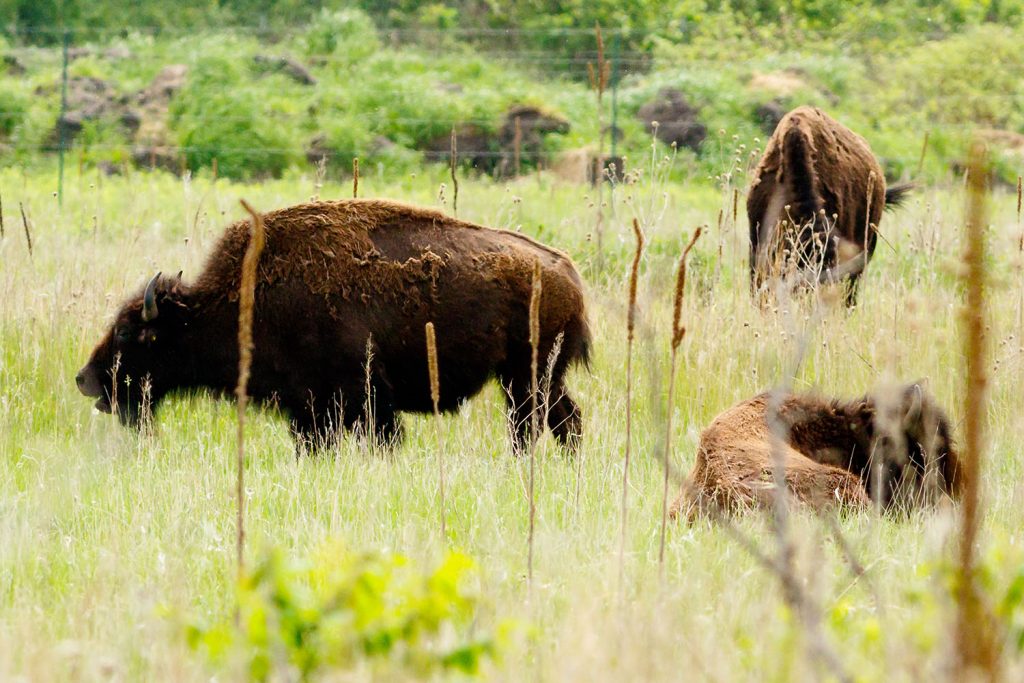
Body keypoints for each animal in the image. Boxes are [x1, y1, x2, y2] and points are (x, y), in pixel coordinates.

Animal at [74, 198, 593, 454]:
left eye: (127, 332)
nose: (84, 379)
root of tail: (567, 271)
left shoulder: (361, 399)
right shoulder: (308, 410)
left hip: (527, 378)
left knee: (534, 425)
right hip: (531, 379)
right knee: (563, 421)